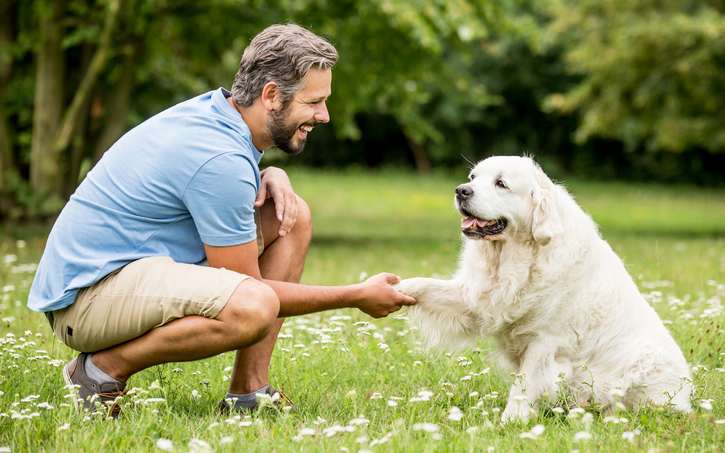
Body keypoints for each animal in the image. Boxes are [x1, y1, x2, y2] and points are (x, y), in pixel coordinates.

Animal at [396, 156, 692, 424]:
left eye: (501, 183)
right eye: (472, 177)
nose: (461, 191)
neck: (517, 258)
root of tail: (688, 397)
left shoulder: (545, 341)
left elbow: (524, 384)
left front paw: (510, 421)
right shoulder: (476, 299)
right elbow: (423, 284)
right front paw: (393, 288)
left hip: (640, 365)